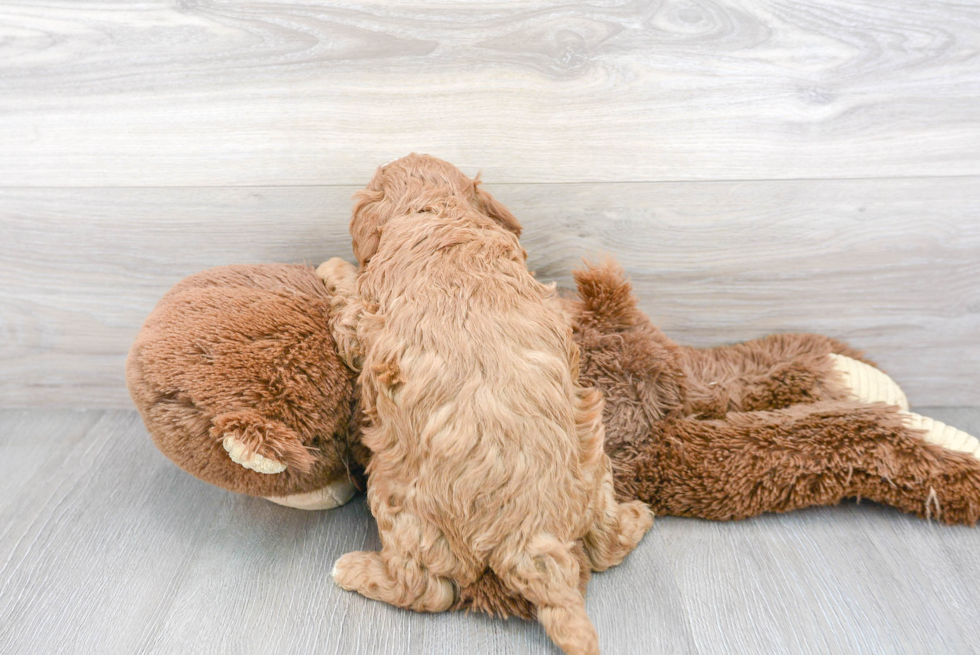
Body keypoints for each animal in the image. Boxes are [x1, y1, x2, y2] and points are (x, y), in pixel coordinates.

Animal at [318, 155, 652, 655]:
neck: (436, 211)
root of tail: (530, 537)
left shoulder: (361, 318)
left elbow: (348, 294)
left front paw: (332, 264)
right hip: (595, 462)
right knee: (603, 544)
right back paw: (637, 516)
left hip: (401, 502)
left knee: (427, 590)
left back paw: (356, 570)